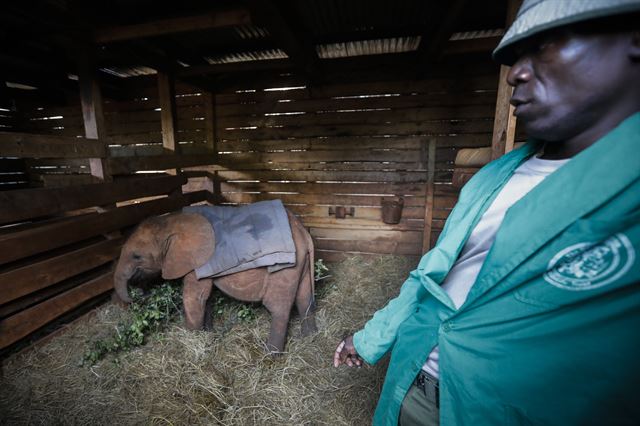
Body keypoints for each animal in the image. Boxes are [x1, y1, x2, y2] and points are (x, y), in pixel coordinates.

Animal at [114, 208, 318, 352]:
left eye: (137, 256)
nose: (139, 294)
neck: (171, 221)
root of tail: (304, 234)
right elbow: (206, 297)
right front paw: (208, 333)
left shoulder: (196, 261)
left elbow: (193, 297)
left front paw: (191, 340)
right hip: (301, 264)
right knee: (304, 298)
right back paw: (309, 337)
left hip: (285, 269)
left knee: (278, 307)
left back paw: (270, 355)